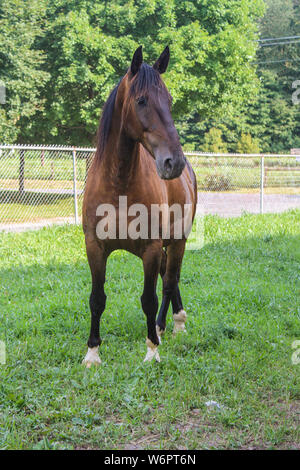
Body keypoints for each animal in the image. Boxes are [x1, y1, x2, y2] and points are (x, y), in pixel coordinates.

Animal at [82, 46, 197, 366]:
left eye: (169, 101)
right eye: (142, 100)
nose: (173, 162)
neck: (119, 183)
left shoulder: (150, 248)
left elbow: (149, 298)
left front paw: (152, 351)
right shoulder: (94, 246)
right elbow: (97, 299)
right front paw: (92, 353)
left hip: (178, 241)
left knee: (169, 282)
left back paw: (166, 325)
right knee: (169, 277)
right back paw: (172, 322)